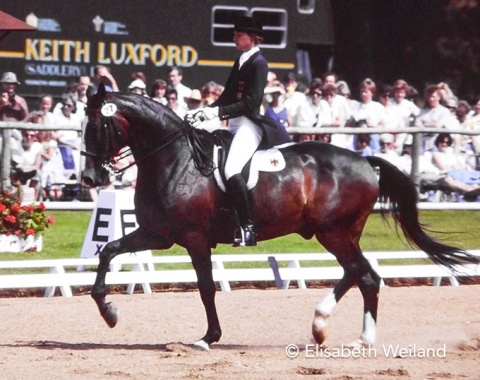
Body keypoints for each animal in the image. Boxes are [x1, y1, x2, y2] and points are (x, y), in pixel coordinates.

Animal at [80, 85, 474, 350]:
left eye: (97, 127)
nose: (88, 179)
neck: (175, 159)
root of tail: (364, 160)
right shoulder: (158, 233)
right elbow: (108, 251)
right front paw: (109, 312)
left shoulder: (193, 238)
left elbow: (206, 288)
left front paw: (208, 338)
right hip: (336, 233)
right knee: (361, 274)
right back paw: (336, 331)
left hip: (335, 232)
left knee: (363, 274)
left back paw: (344, 331)